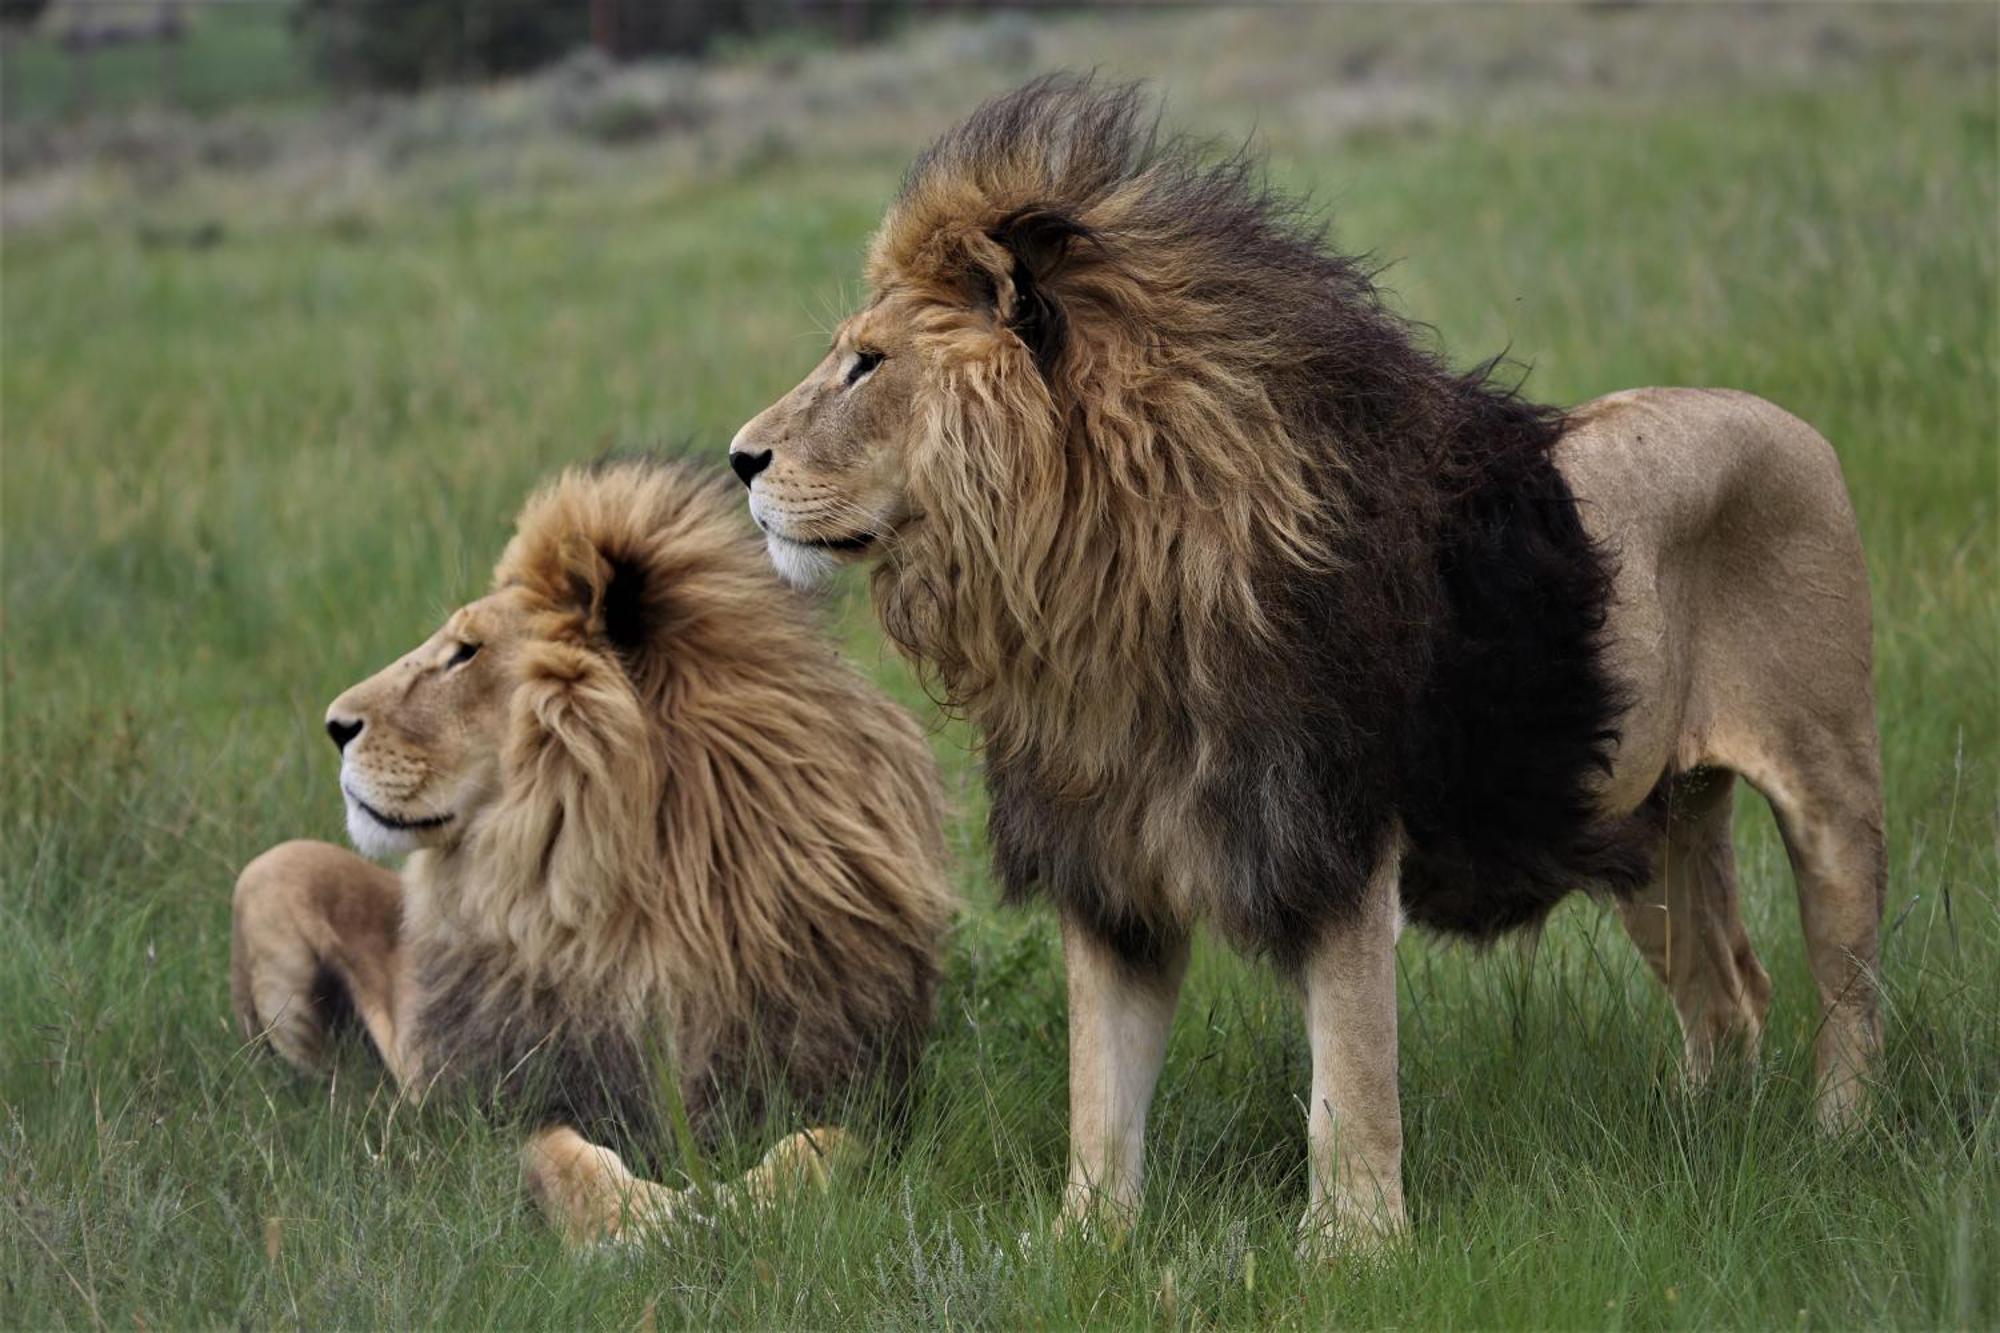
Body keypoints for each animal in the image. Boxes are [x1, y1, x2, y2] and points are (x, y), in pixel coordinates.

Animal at [234, 456, 952, 1248]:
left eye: (465, 652)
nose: (335, 724)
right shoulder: (500, 1105)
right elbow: (558, 1157)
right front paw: (640, 1222)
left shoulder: (870, 1091)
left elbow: (821, 1149)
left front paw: (740, 1209)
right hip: (272, 872)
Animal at [728, 80, 1880, 1248]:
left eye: (867, 362)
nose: (738, 459)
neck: (1093, 588)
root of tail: (1787, 420)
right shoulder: (1109, 870)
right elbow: (1099, 1094)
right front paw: (1084, 1242)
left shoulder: (1333, 838)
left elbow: (1350, 1083)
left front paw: (1351, 1249)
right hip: (1645, 816)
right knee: (1728, 993)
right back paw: (1696, 1136)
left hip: (1828, 783)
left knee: (1846, 988)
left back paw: (1833, 1146)